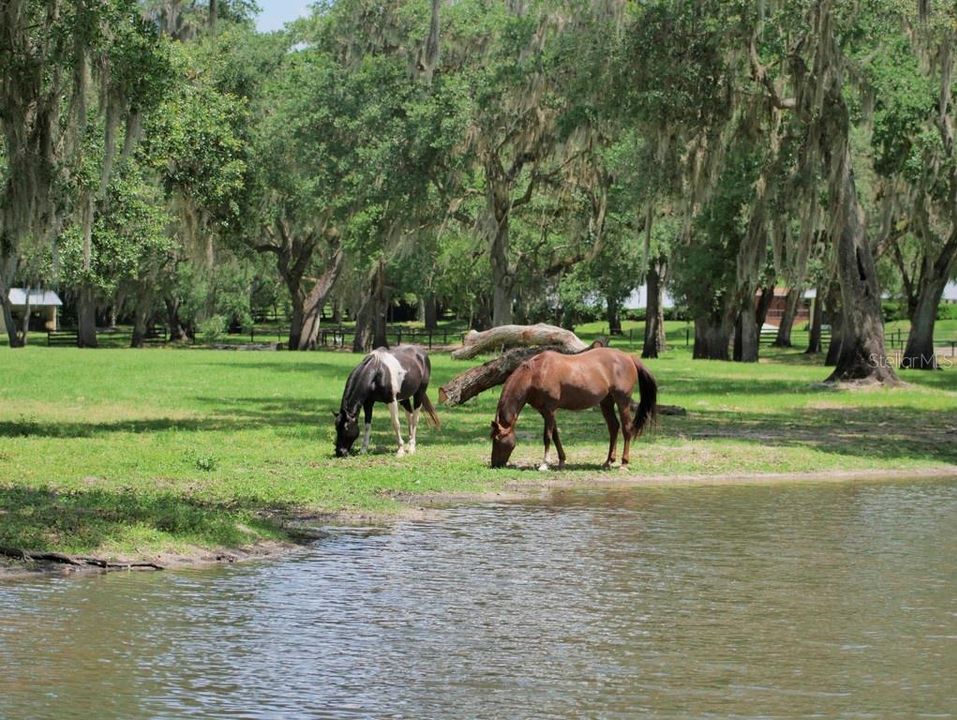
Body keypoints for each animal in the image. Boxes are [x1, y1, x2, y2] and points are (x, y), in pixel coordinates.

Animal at [490, 350, 652, 472]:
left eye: (497, 439)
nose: (494, 464)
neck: (536, 374)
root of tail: (629, 357)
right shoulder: (545, 412)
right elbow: (555, 435)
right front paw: (561, 460)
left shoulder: (549, 410)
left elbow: (547, 436)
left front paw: (544, 464)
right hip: (606, 402)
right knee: (613, 427)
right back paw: (608, 461)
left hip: (622, 401)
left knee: (626, 429)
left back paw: (624, 463)